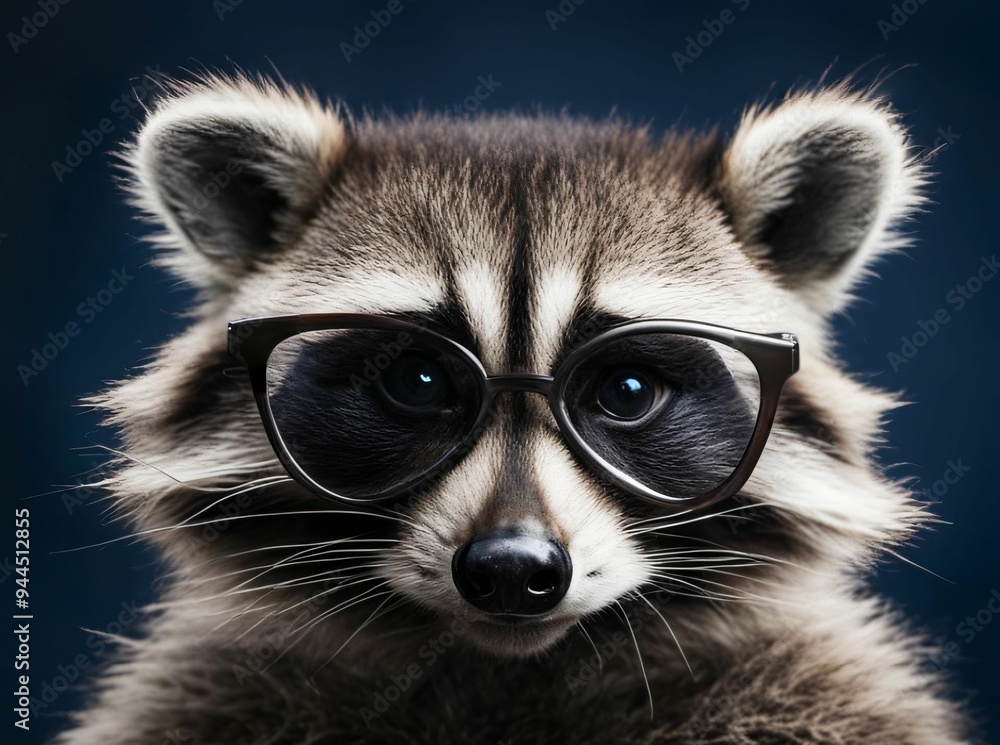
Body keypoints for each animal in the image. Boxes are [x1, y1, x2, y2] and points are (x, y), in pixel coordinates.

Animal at [57, 74, 972, 744]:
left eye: (626, 391)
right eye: (419, 380)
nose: (511, 568)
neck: (511, 666)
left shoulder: (822, 694)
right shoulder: (201, 696)